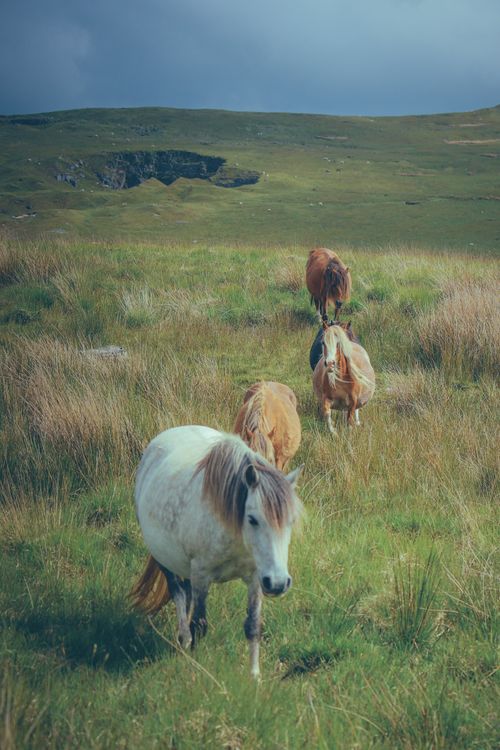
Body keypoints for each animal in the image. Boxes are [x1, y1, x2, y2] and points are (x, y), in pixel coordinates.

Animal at [130, 425, 303, 679]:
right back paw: (183, 639)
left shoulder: (255, 578)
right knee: (179, 594)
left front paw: (254, 677)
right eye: (252, 519)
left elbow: (253, 625)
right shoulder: (202, 575)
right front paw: (196, 669)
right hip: (166, 560)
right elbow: (199, 624)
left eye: (291, 521)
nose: (278, 583)